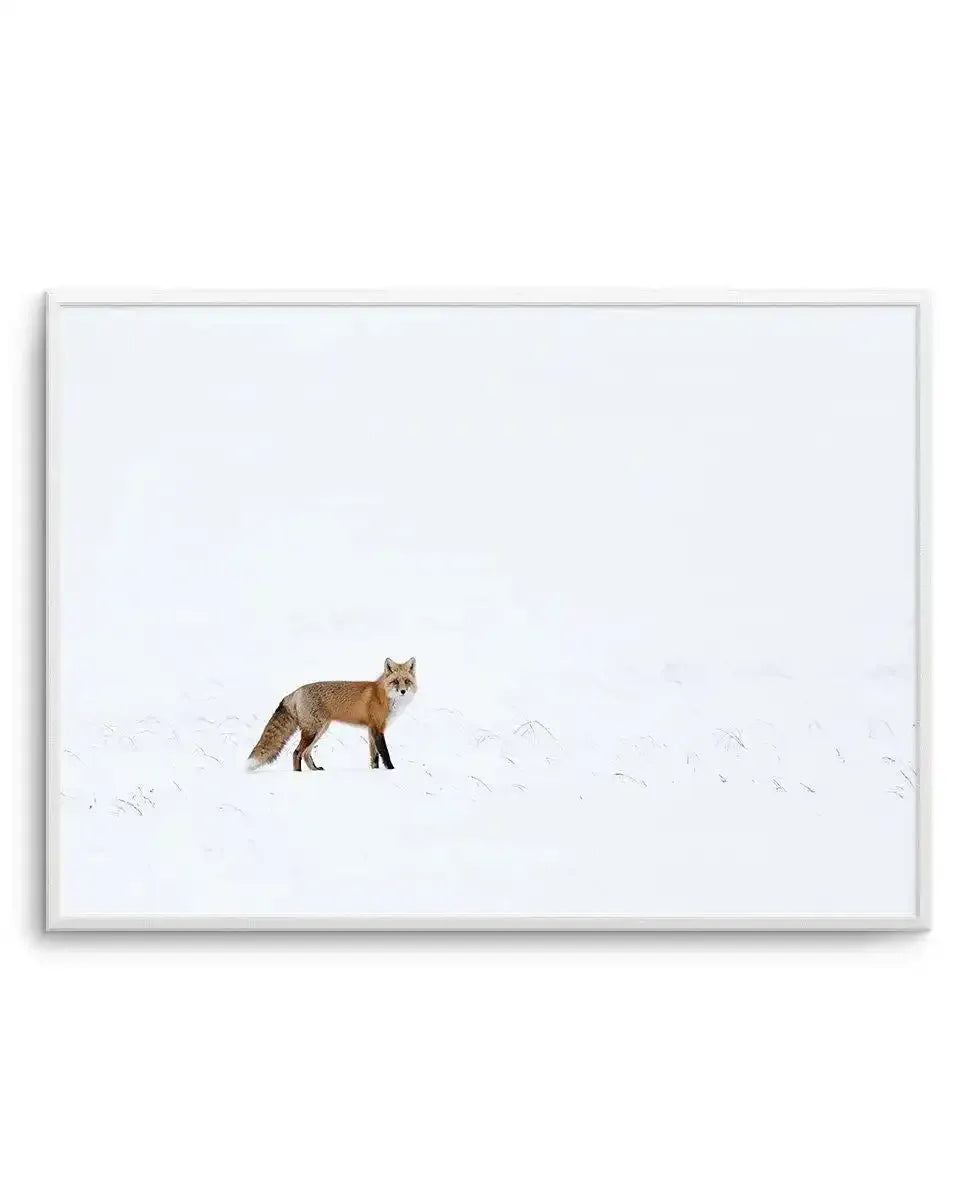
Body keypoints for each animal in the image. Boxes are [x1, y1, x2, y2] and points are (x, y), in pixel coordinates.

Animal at [246, 657, 417, 772]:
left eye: (407, 681)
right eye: (395, 681)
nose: (403, 691)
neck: (384, 697)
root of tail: (296, 691)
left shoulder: (371, 730)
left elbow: (373, 756)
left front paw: (375, 771)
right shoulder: (377, 728)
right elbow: (385, 753)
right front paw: (391, 770)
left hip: (320, 731)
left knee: (306, 753)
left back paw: (315, 770)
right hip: (312, 731)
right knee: (297, 752)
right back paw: (298, 774)